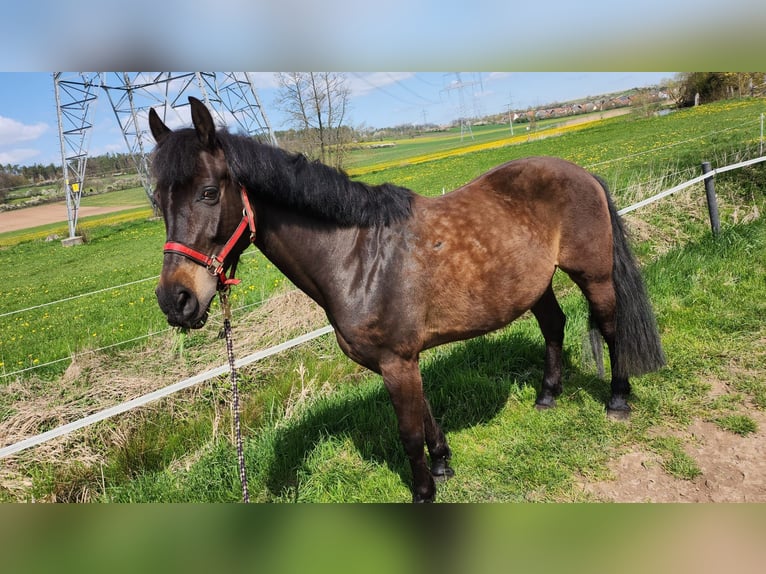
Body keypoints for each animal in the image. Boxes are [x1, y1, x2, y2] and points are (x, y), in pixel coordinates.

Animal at [148, 99, 664, 504]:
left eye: (209, 193)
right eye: (157, 201)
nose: (176, 300)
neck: (356, 258)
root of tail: (581, 172)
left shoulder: (397, 360)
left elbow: (409, 433)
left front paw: (423, 492)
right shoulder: (402, 360)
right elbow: (427, 417)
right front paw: (443, 465)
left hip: (593, 275)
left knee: (610, 326)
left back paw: (618, 399)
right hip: (535, 286)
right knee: (554, 326)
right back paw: (548, 395)